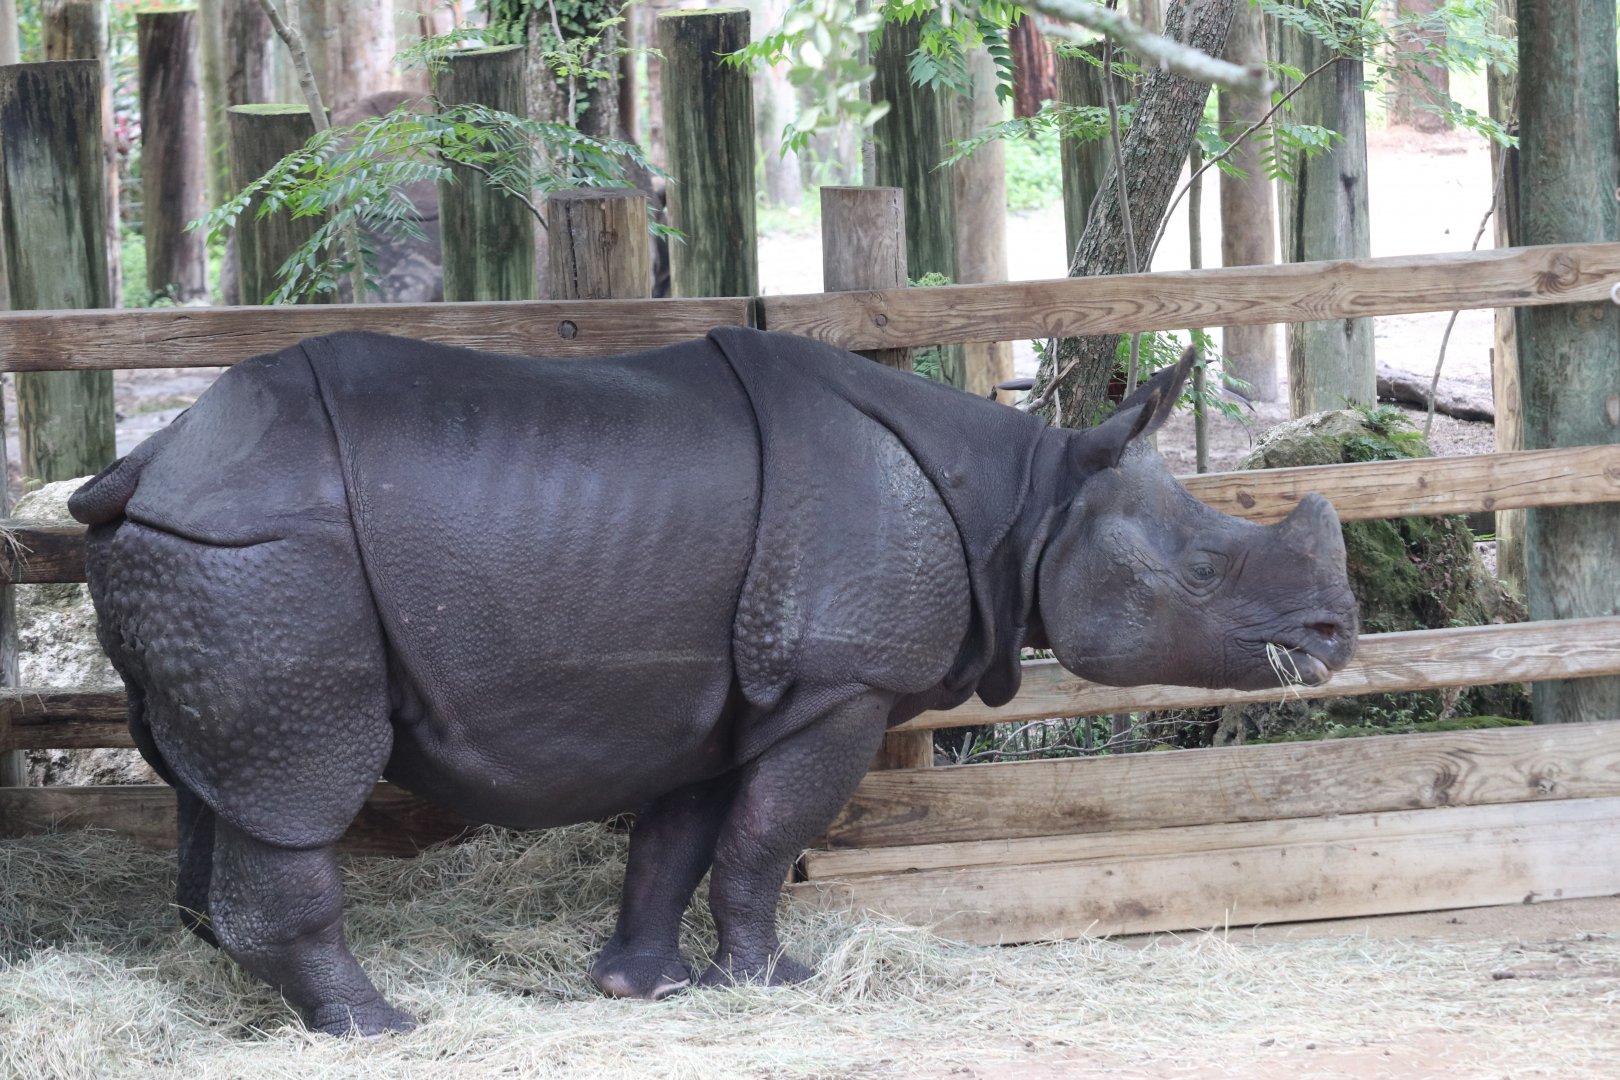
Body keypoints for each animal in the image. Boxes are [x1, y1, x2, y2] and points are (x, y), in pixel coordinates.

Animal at [69, 328, 1358, 1036]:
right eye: (1203, 571)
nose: (1338, 635)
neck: (1034, 497)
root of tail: (151, 462)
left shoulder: (710, 690)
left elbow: (680, 839)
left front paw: (645, 991)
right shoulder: (839, 680)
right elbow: (764, 837)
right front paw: (778, 981)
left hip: (209, 559)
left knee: (212, 781)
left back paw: (241, 990)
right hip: (270, 557)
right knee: (300, 783)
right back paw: (382, 1026)